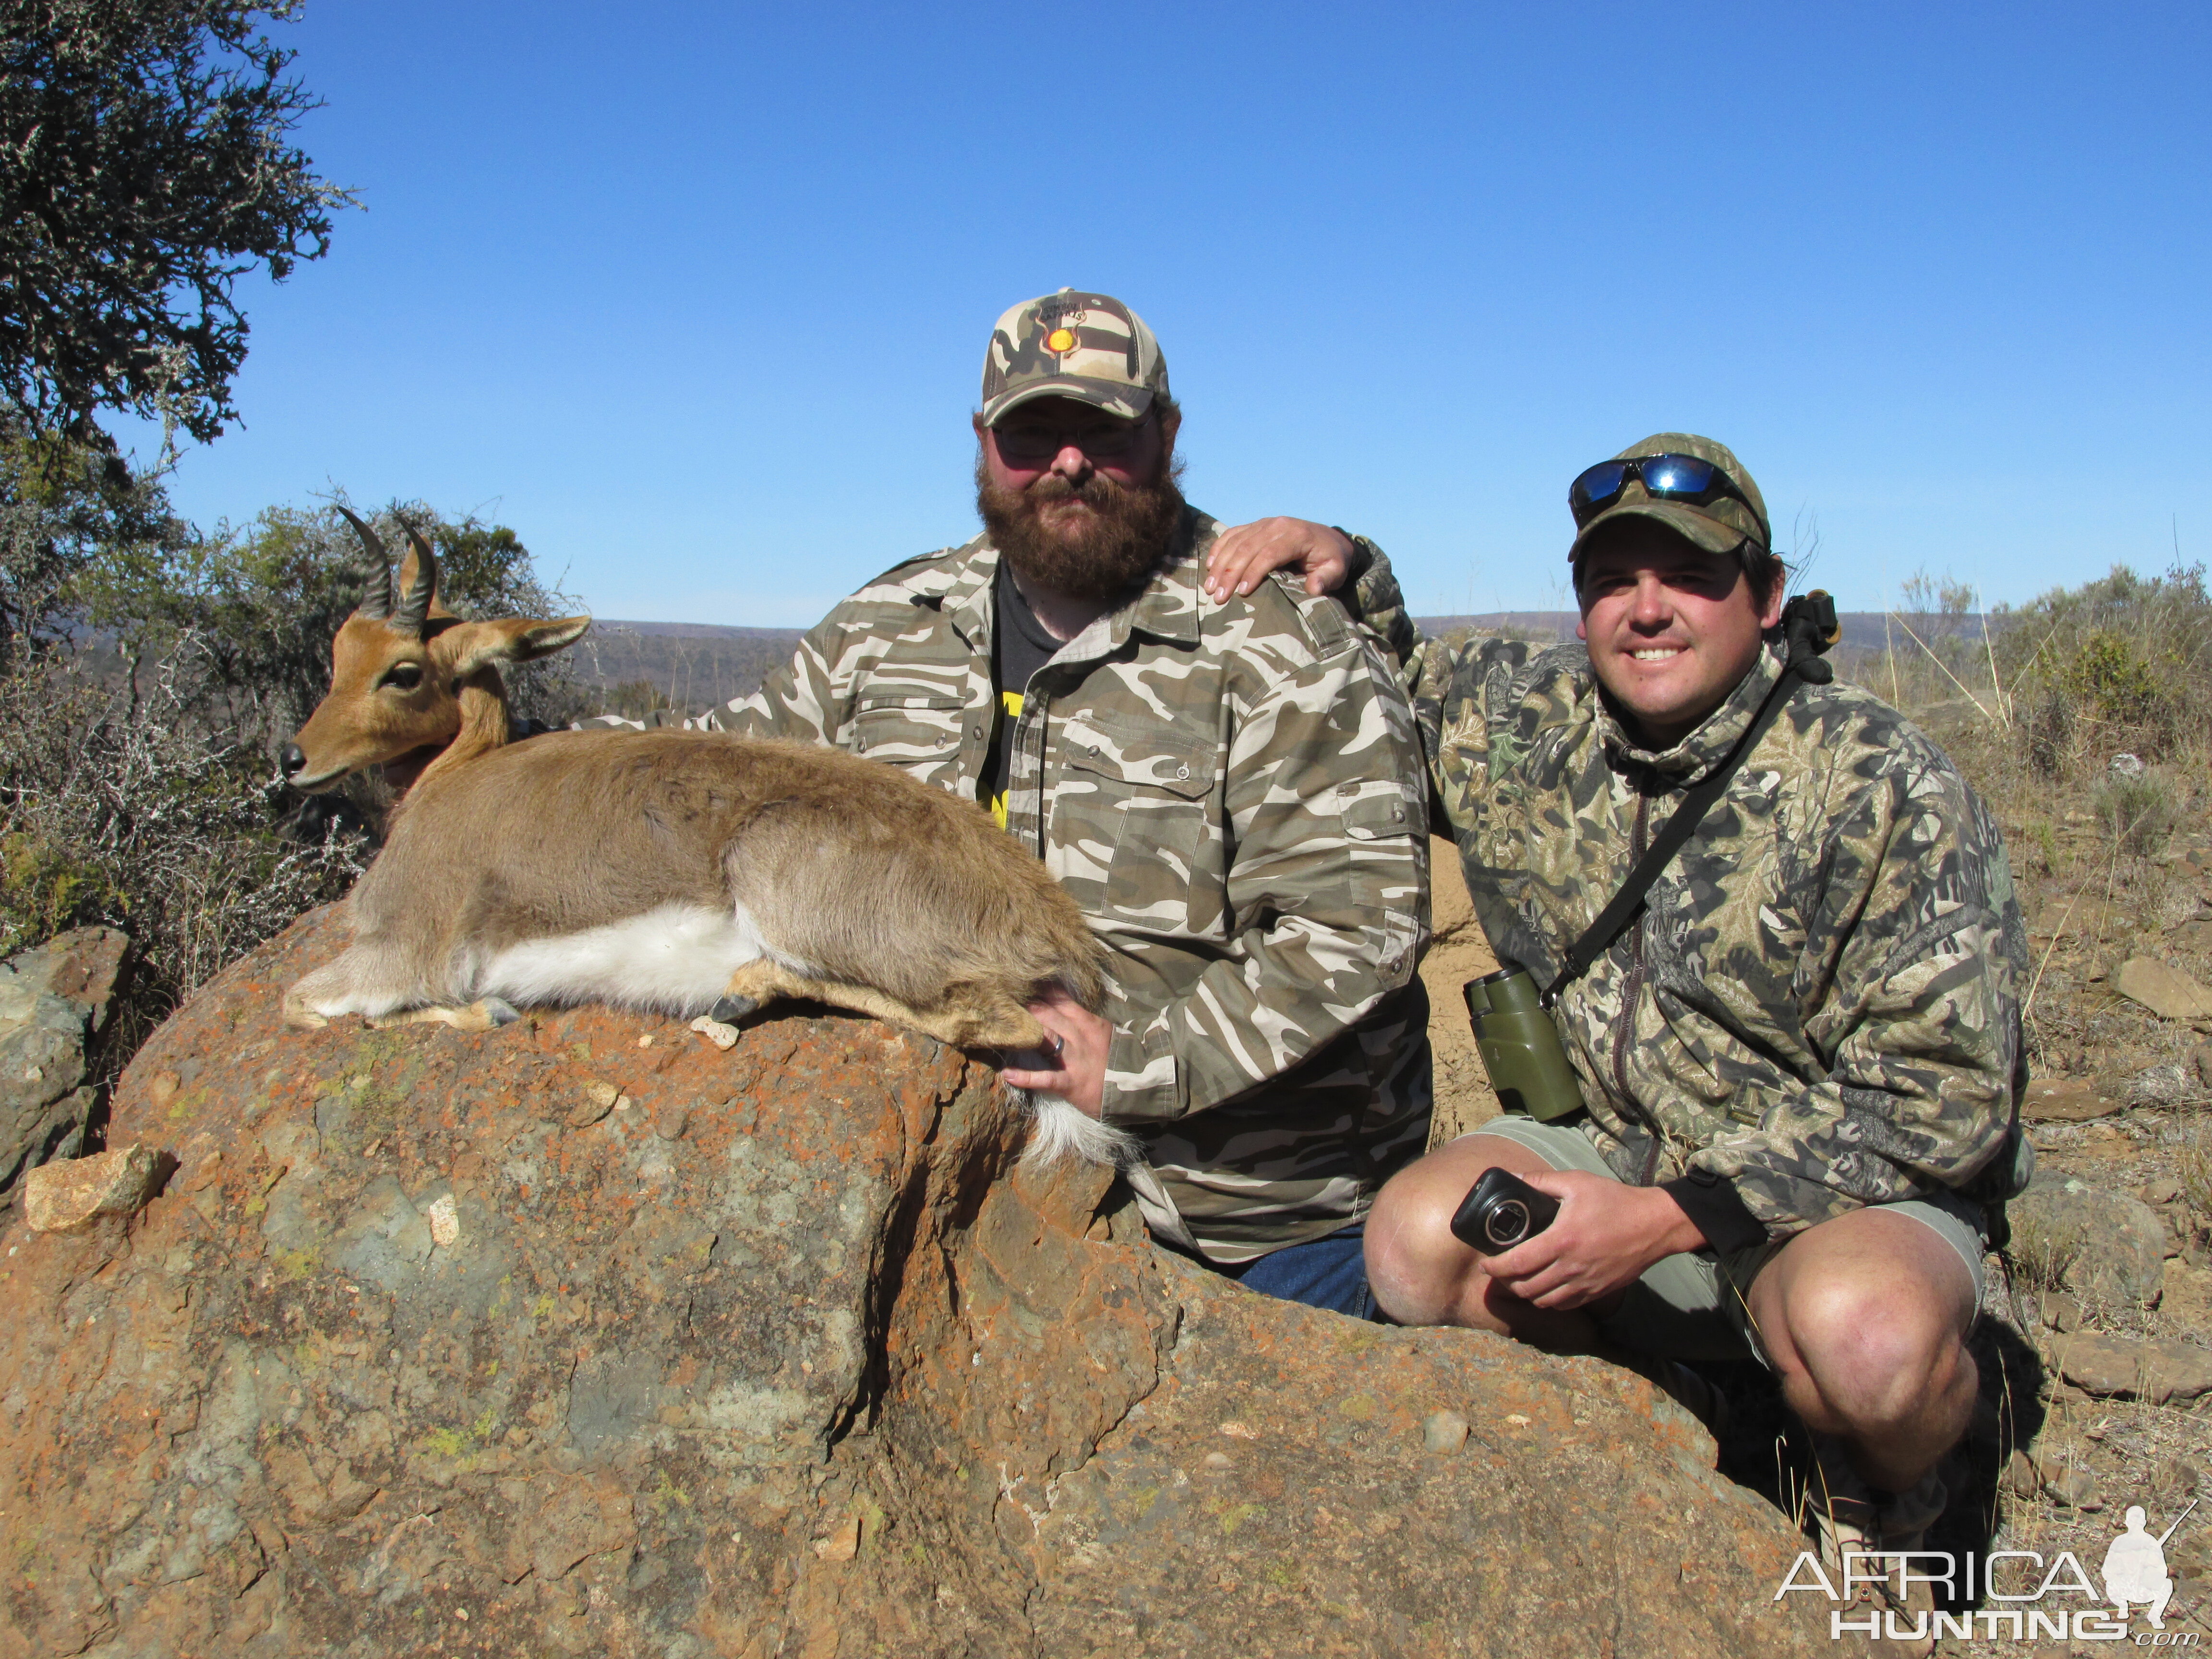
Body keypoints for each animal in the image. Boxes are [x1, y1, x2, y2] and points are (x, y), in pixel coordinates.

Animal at [285, 511, 1132, 1168]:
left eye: (402, 672)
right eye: (338, 652)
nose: (295, 760)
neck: (454, 781)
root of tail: (1057, 924)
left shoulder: (406, 954)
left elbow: (306, 1005)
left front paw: (483, 1013)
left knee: (998, 1023)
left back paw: (739, 993)